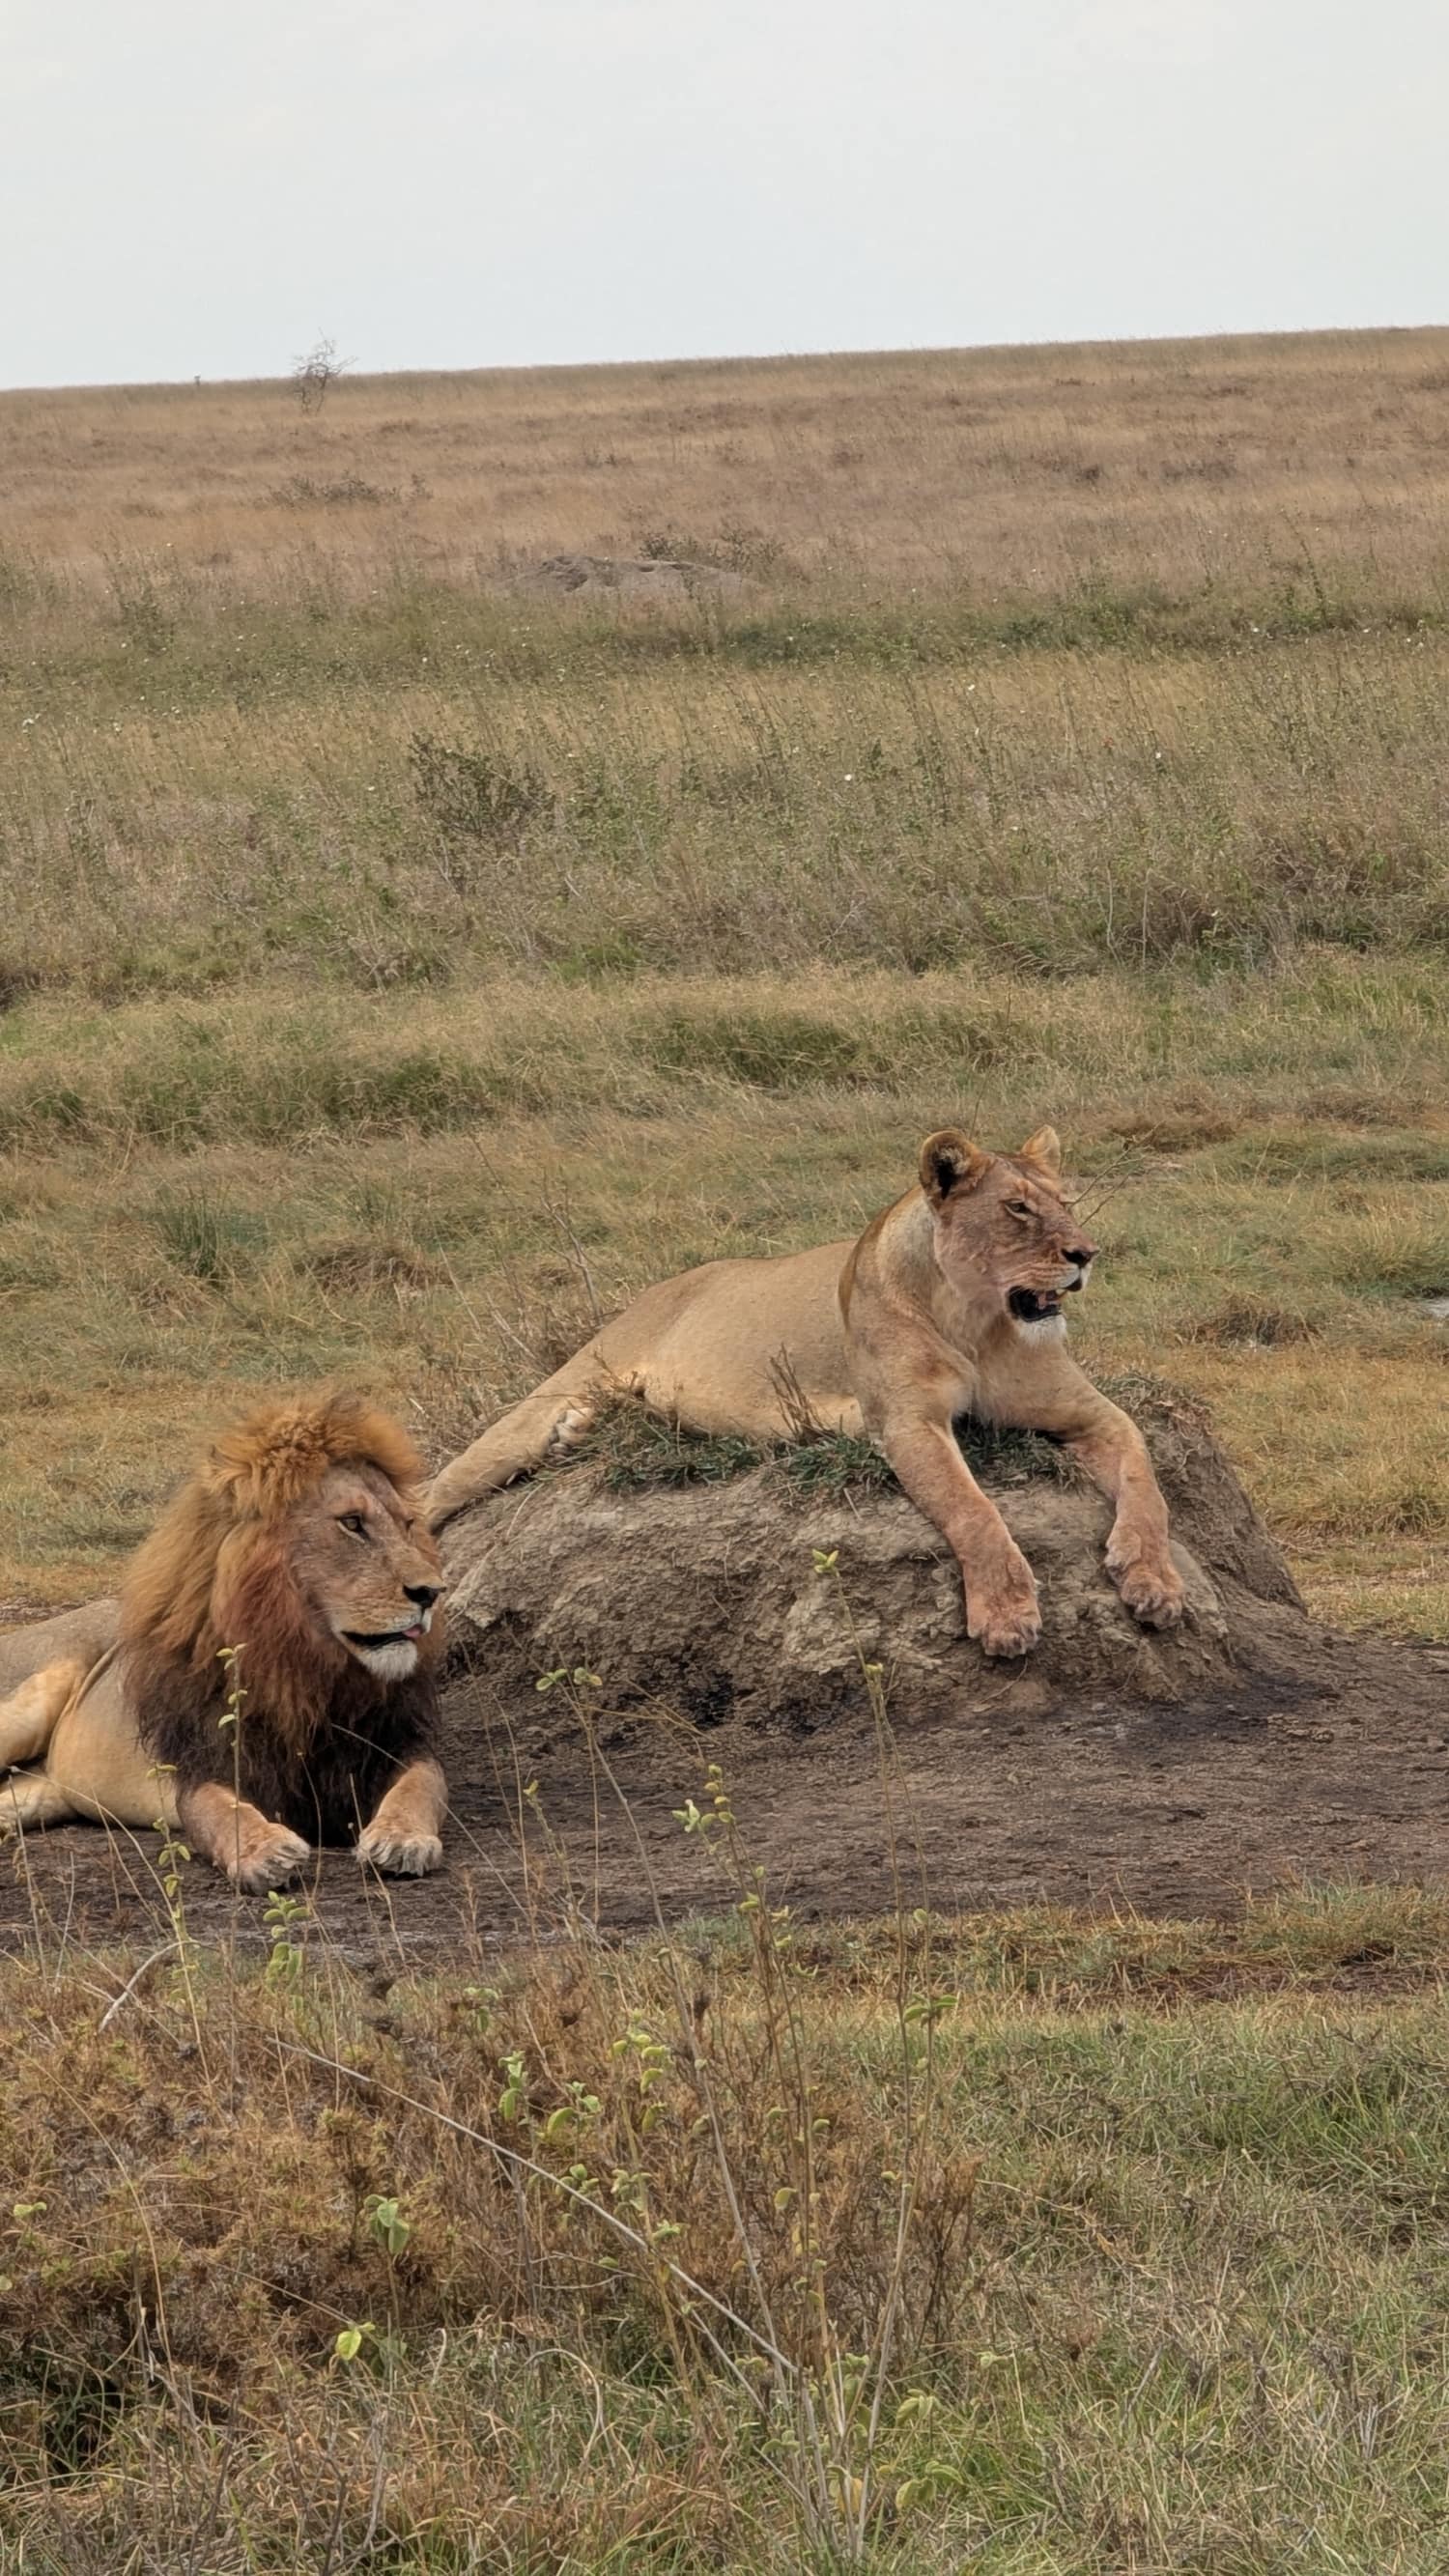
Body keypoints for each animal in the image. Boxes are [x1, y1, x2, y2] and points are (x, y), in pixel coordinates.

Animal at [0, 1393, 448, 1891]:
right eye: (351, 1523)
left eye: (407, 1525)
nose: (432, 1592)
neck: (306, 1669)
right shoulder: (204, 1764)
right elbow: (222, 1811)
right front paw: (266, 1852)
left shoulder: (396, 1746)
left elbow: (421, 1787)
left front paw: (403, 1839)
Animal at [428, 1126, 1187, 1659]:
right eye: (1017, 1209)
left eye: (1067, 1205)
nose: (1086, 1254)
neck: (977, 1321)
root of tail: (661, 1286)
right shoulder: (905, 1423)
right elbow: (973, 1510)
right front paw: (1006, 1614)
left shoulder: (1090, 1411)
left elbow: (1146, 1481)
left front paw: (1153, 1581)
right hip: (545, 1398)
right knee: (437, 1489)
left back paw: (579, 1433)